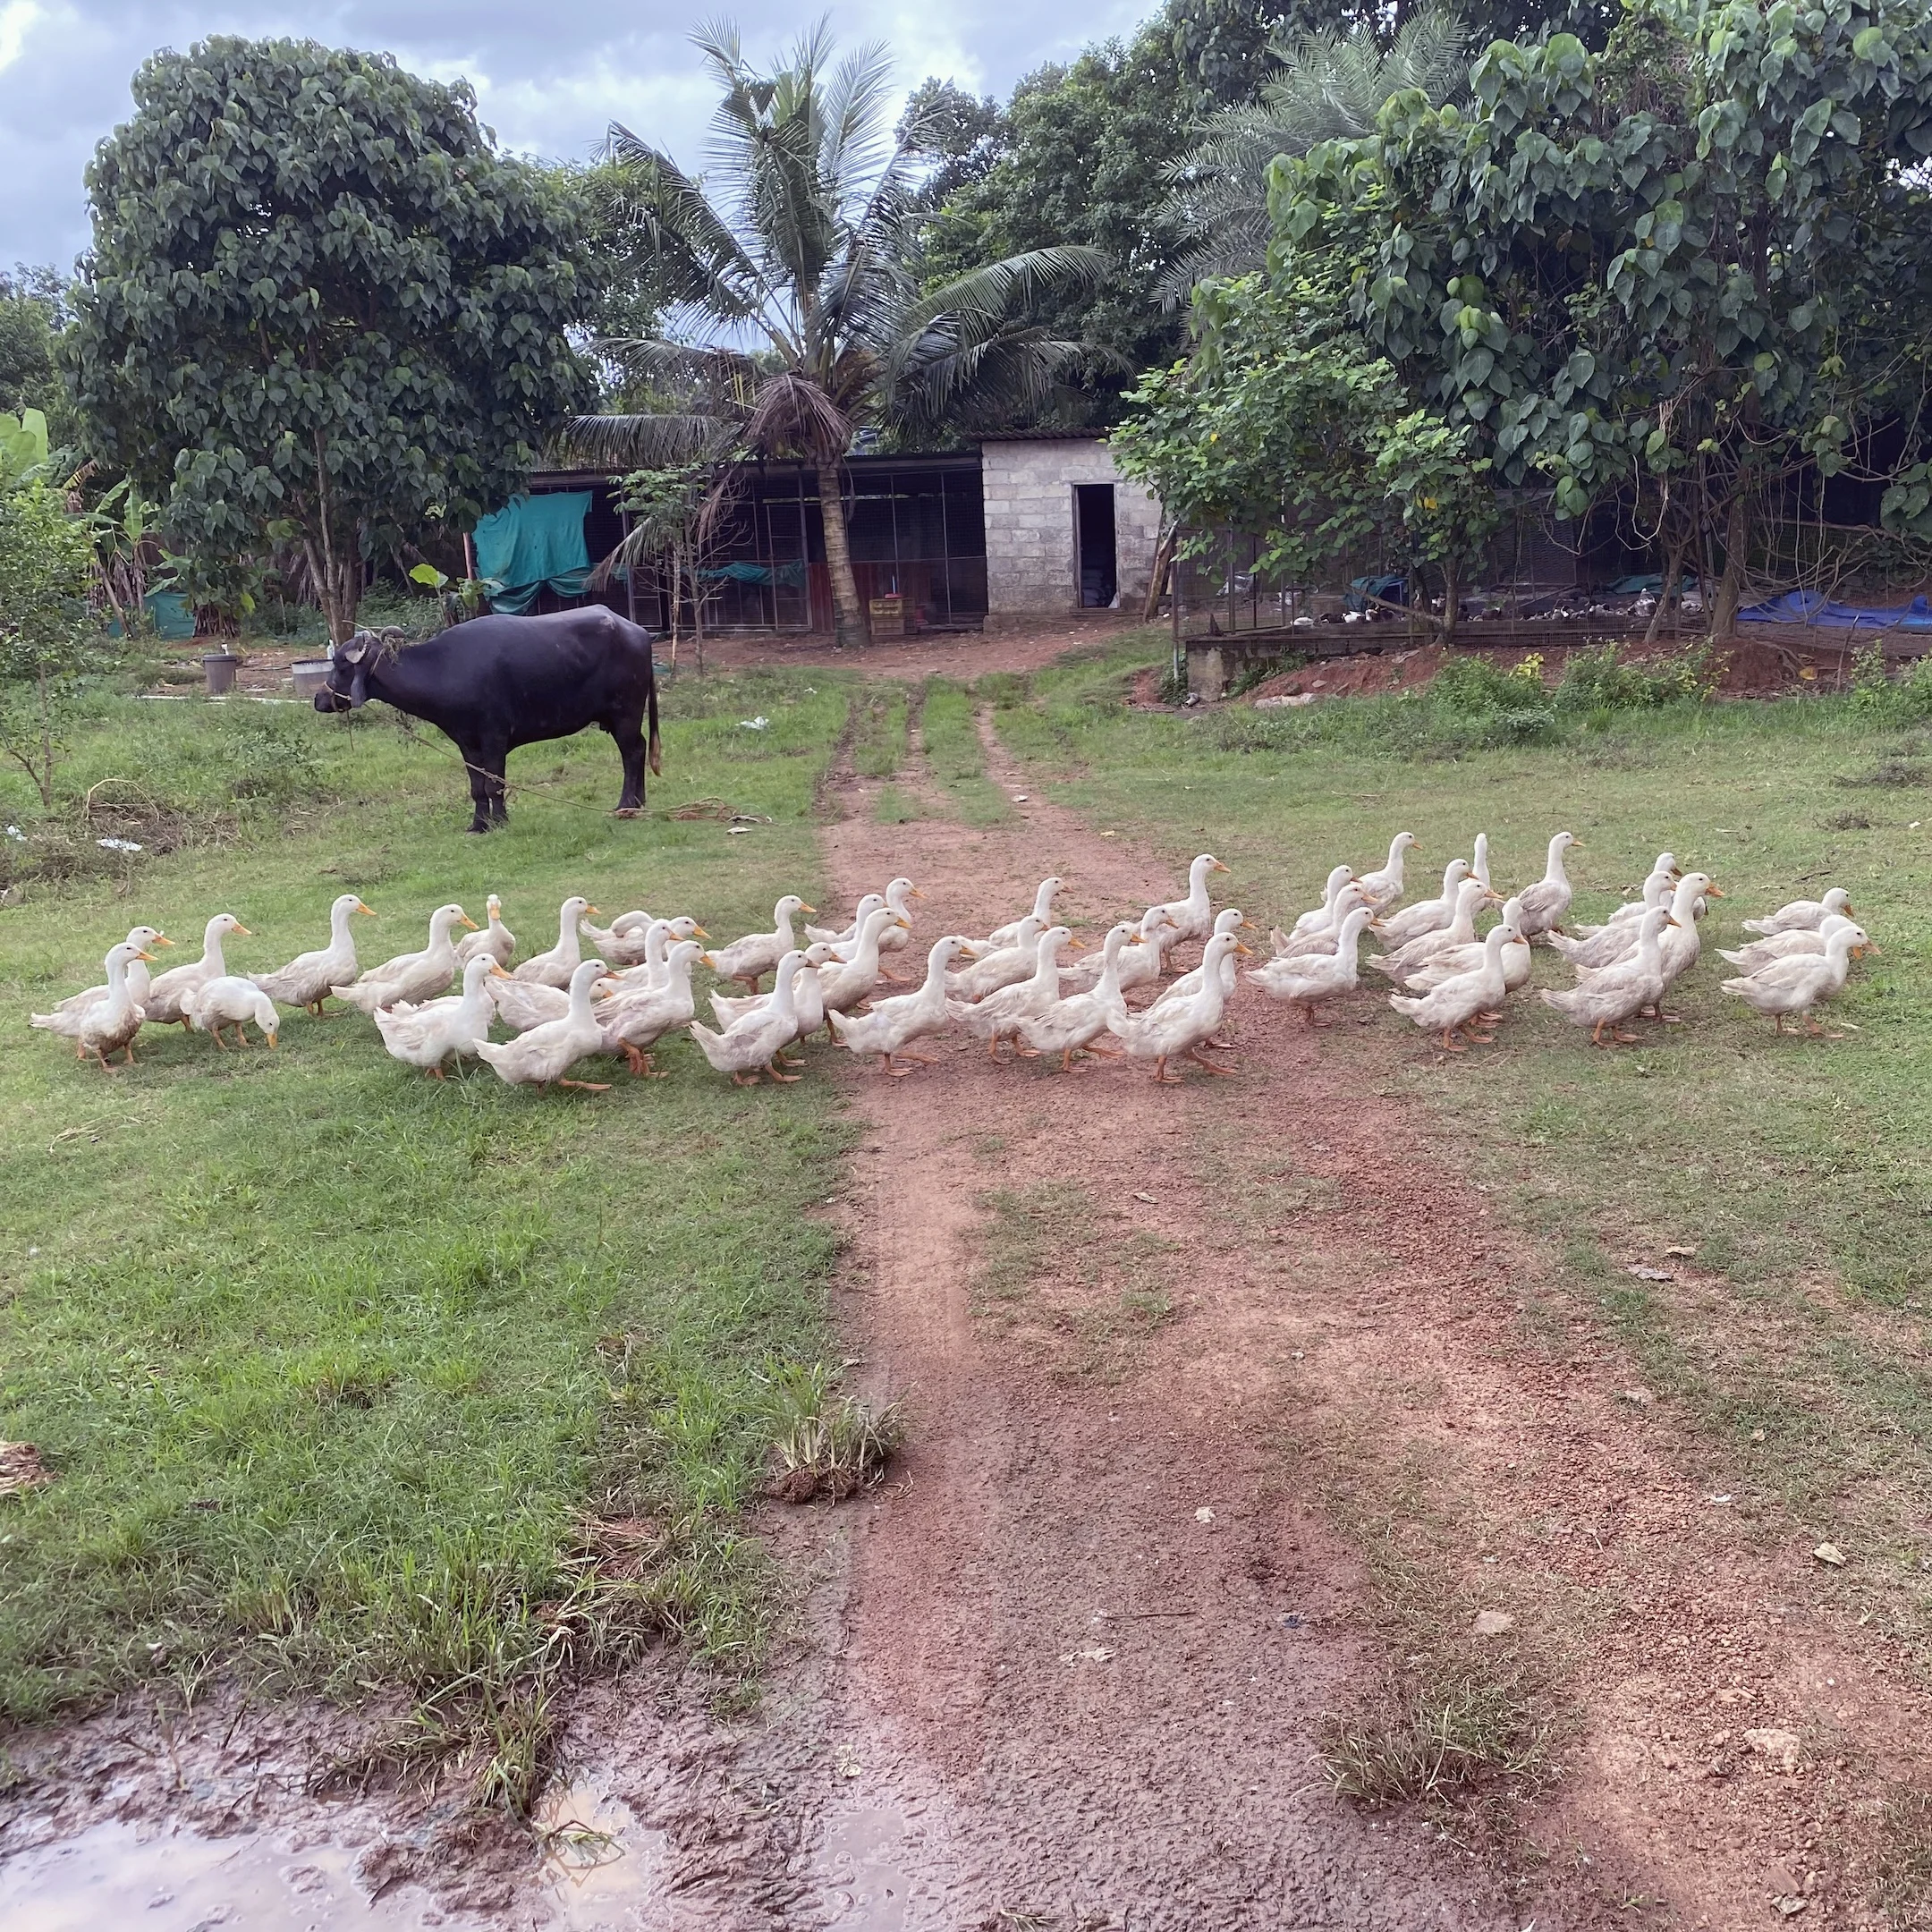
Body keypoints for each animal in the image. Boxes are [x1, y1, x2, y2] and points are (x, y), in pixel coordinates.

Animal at [314, 608, 661, 833]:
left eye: (341, 666)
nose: (319, 700)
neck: (443, 669)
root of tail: (639, 632)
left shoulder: (494, 736)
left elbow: (495, 784)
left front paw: (501, 821)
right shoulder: (466, 741)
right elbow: (477, 787)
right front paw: (479, 824)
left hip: (625, 712)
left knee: (632, 752)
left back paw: (625, 804)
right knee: (640, 748)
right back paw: (640, 801)